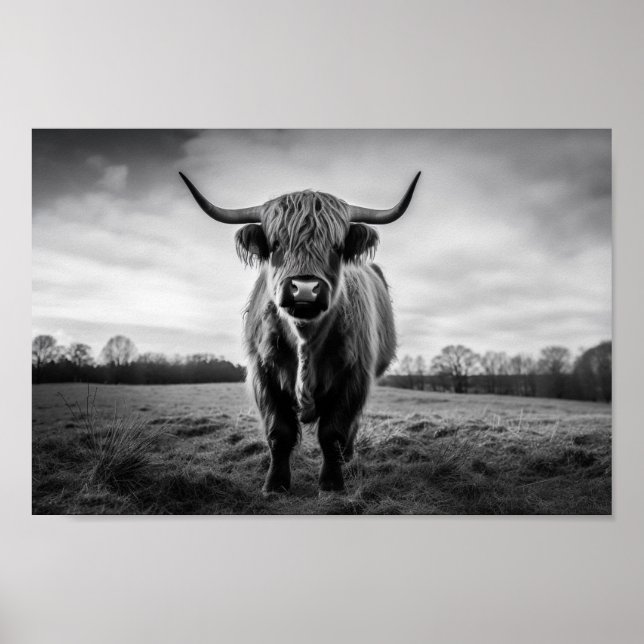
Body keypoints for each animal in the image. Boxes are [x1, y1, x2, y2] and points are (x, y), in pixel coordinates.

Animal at [179, 170, 420, 494]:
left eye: (336, 246)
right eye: (276, 243)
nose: (304, 289)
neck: (305, 338)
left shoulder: (355, 376)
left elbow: (333, 432)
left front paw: (331, 484)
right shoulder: (263, 374)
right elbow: (279, 433)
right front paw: (275, 484)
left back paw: (348, 457)